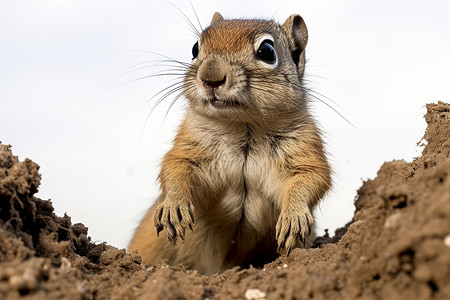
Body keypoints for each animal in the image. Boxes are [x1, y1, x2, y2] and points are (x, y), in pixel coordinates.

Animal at [128, 12, 332, 274]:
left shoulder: (305, 149)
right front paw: (174, 206)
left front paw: (293, 216)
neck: (243, 125)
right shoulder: (188, 146)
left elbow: (312, 178)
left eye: (267, 51)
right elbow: (174, 167)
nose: (211, 79)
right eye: (195, 48)